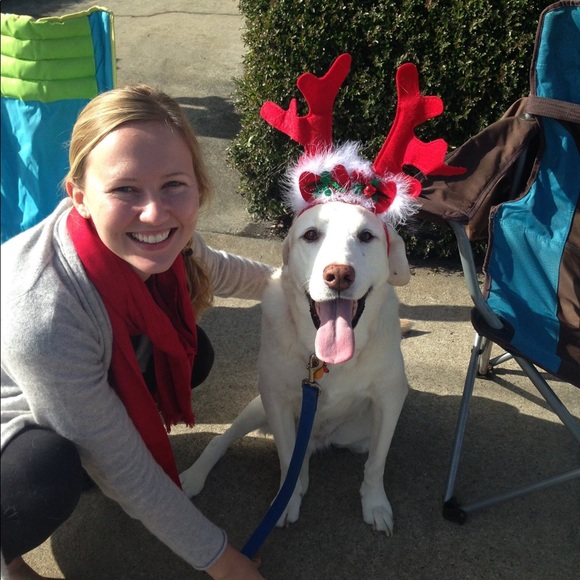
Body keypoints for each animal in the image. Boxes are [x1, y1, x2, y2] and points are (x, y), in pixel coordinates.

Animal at [180, 200, 410, 535]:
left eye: (366, 236)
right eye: (311, 235)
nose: (338, 275)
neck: (326, 359)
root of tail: (317, 440)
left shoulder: (389, 399)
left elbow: (376, 462)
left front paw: (375, 503)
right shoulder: (275, 398)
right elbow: (288, 456)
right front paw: (285, 502)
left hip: (357, 435)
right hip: (258, 407)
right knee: (222, 440)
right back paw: (195, 476)